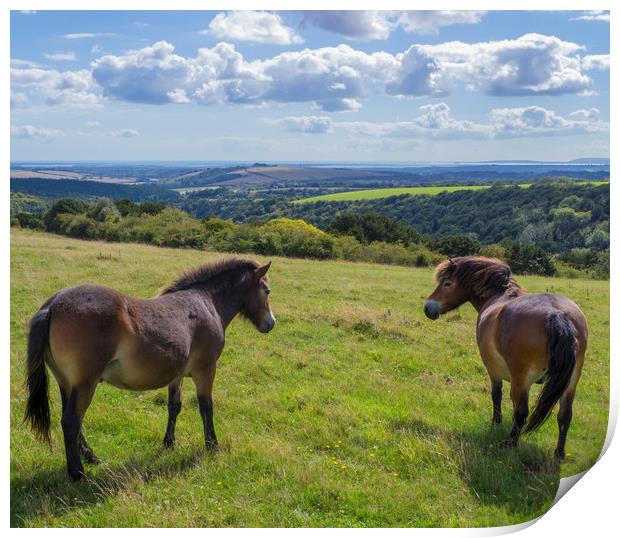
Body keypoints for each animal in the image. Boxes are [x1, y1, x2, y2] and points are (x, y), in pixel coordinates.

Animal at [25, 255, 274, 478]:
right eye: (267, 290)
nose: (271, 323)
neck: (205, 302)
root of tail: (52, 305)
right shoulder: (206, 369)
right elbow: (206, 407)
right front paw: (212, 445)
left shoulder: (176, 374)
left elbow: (174, 406)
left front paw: (169, 443)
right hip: (85, 383)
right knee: (71, 421)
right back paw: (78, 473)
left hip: (66, 382)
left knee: (72, 421)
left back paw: (90, 457)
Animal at [424, 256, 588, 456]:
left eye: (447, 283)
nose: (428, 308)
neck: (499, 295)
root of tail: (556, 314)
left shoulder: (493, 370)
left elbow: (497, 395)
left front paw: (496, 423)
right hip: (571, 381)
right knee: (565, 415)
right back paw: (559, 454)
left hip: (521, 380)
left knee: (522, 413)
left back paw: (510, 443)